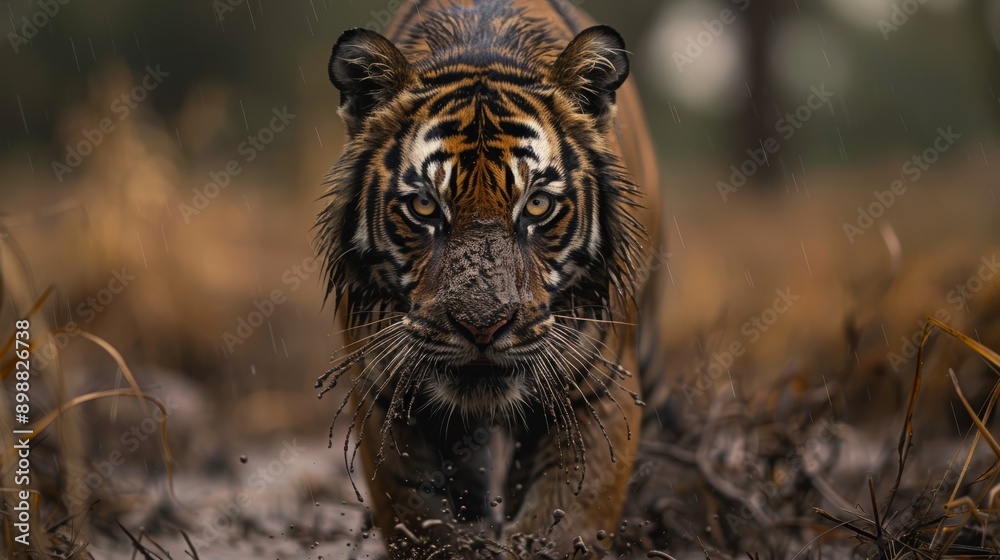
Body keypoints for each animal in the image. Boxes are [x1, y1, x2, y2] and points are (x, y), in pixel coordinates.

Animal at [315, 0, 663, 557]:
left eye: (537, 205)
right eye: (424, 206)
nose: (482, 326)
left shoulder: (598, 394)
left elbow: (566, 522)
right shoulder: (384, 398)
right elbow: (423, 521)